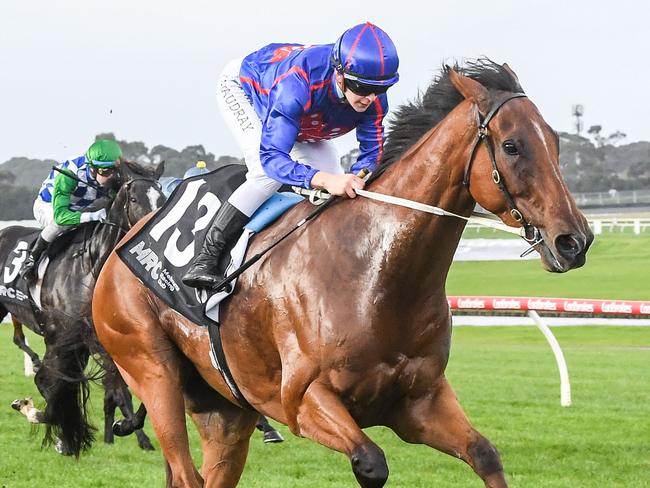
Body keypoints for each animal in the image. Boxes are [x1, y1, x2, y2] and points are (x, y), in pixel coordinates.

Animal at [92, 62, 592, 488]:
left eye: (555, 142)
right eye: (511, 146)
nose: (575, 240)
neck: (376, 275)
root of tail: (119, 248)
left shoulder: (419, 401)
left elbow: (485, 454)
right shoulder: (302, 400)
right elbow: (371, 462)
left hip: (226, 411)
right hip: (153, 372)